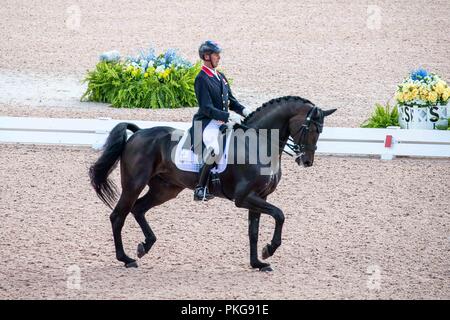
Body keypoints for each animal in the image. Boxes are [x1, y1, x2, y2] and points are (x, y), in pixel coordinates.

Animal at [89, 95, 336, 270]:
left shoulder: (259, 197)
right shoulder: (244, 198)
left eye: (321, 130)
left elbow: (254, 231)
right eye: (311, 128)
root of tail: (138, 133)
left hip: (165, 189)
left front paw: (258, 263)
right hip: (134, 184)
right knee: (118, 216)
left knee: (139, 209)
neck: (258, 143)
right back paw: (126, 258)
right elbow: (279, 214)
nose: (307, 161)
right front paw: (269, 250)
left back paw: (144, 246)